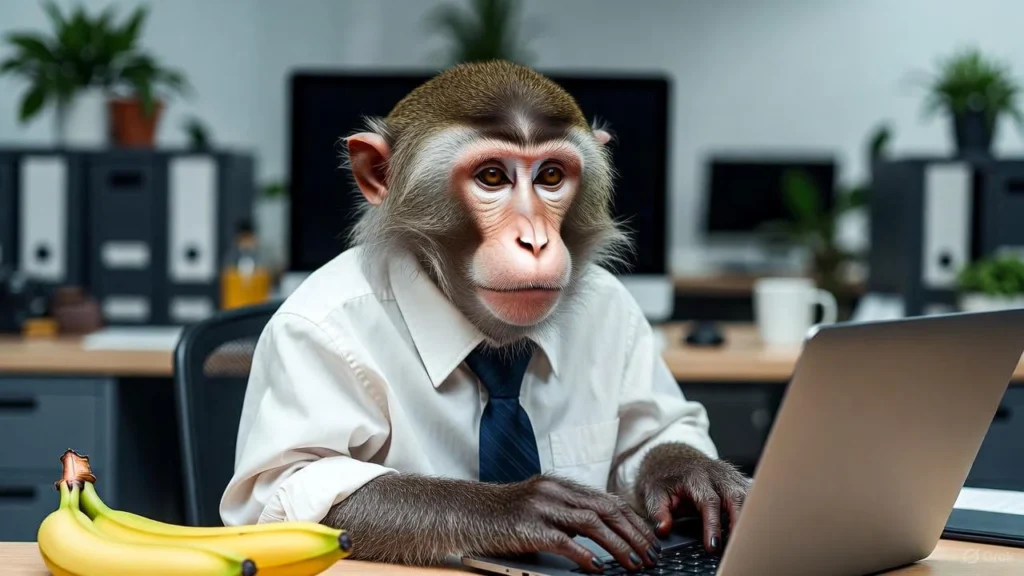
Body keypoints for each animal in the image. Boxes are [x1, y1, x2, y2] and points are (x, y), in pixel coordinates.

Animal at [304, 60, 752, 573]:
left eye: (551, 176)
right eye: (492, 177)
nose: (535, 241)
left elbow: (656, 431)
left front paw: (693, 473)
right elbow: (310, 482)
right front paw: (523, 506)